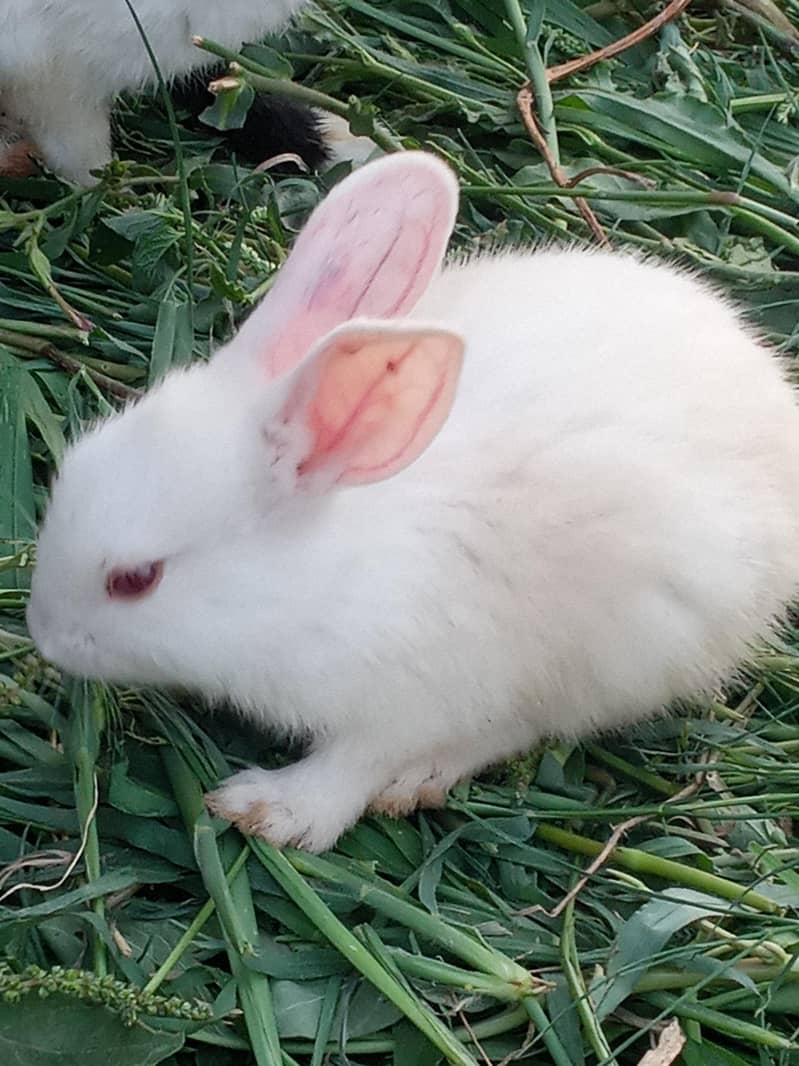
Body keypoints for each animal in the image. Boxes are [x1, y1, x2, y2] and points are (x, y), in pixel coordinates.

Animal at [27, 151, 799, 853]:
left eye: (136, 580)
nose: (43, 635)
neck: (324, 580)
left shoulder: (408, 700)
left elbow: (353, 764)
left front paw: (271, 811)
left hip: (625, 648)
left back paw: (421, 777)